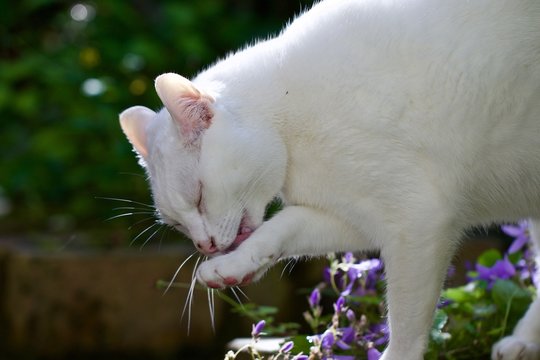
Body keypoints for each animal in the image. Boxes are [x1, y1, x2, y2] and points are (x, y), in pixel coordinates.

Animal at [118, 1, 540, 358]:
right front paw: (233, 266)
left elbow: (405, 328)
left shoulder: (418, 220)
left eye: (200, 196)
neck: (289, 115)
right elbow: (284, 226)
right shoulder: (359, 217)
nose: (203, 245)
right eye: (177, 224)